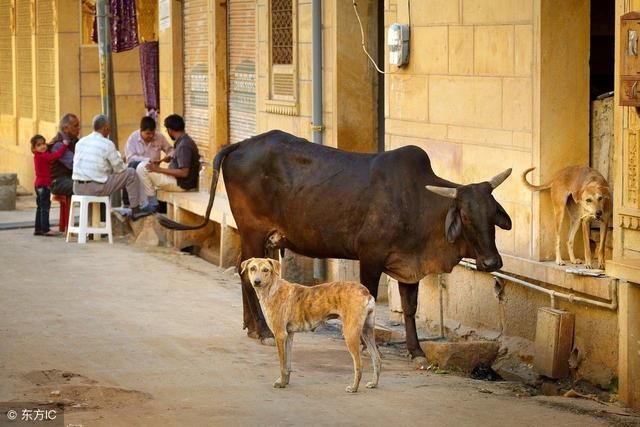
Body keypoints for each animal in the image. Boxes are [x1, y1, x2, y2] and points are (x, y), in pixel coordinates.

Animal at [158, 130, 512, 364]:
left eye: (492, 214)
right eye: (465, 215)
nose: (492, 262)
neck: (416, 203)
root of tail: (239, 144)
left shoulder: (407, 267)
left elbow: (410, 308)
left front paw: (416, 351)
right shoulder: (370, 257)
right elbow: (368, 302)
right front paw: (368, 347)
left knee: (246, 274)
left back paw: (251, 326)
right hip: (252, 231)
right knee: (247, 276)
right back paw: (261, 331)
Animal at [240, 258, 380, 394]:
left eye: (266, 270)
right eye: (252, 268)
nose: (256, 282)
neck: (272, 289)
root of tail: (365, 291)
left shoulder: (280, 335)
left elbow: (282, 364)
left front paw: (281, 383)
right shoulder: (289, 335)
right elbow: (288, 364)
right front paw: (286, 381)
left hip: (350, 334)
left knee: (359, 364)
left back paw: (354, 388)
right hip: (367, 332)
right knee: (377, 359)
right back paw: (374, 383)